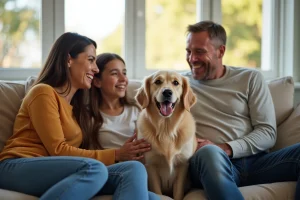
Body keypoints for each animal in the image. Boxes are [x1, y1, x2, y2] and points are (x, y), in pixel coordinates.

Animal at [135, 70, 197, 200]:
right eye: (158, 81)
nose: (167, 92)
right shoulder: (151, 165)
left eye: (176, 83)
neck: (166, 130)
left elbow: (178, 193)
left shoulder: (182, 165)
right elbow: (157, 191)